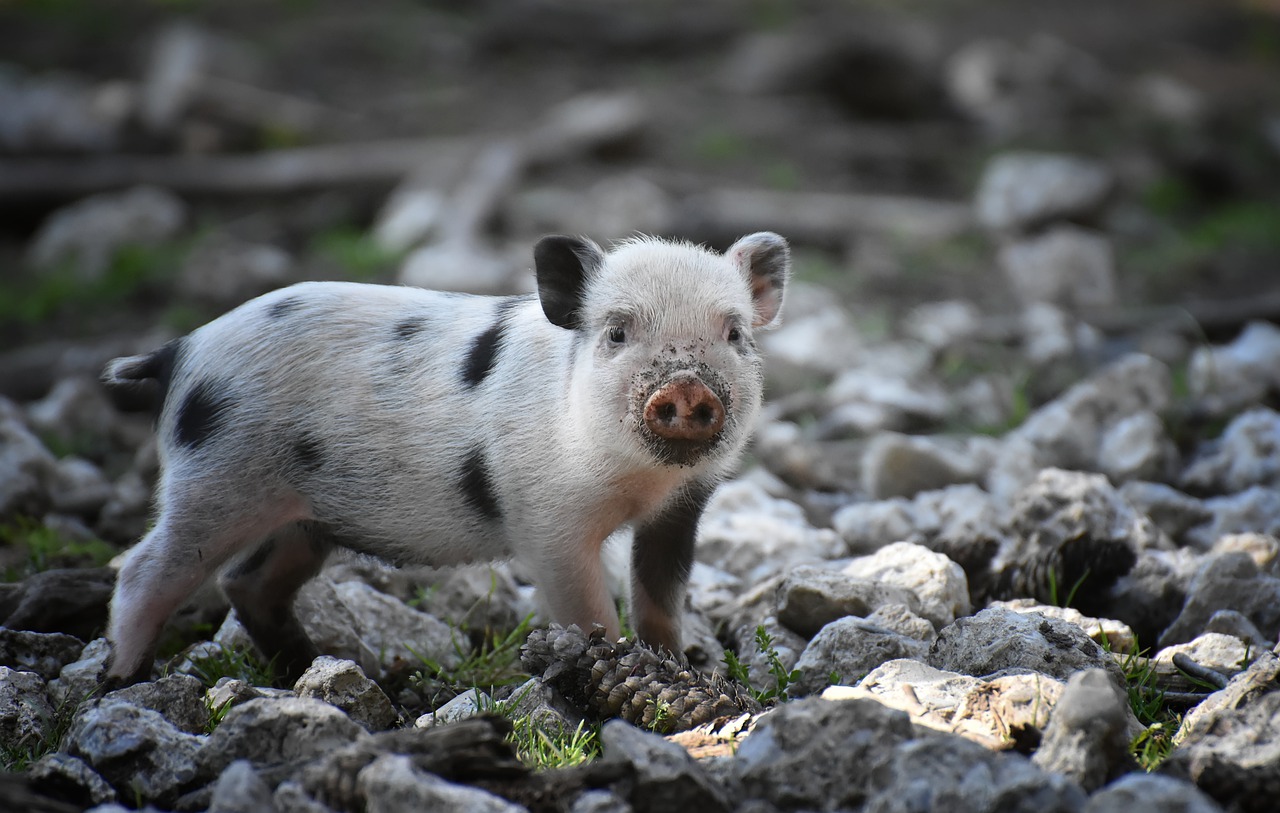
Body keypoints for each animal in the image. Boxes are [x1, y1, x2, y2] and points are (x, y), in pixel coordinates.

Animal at [100, 232, 790, 686]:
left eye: (735, 334)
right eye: (617, 332)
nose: (686, 387)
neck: (642, 483)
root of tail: (181, 350)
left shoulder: (682, 509)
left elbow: (661, 599)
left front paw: (674, 668)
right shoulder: (546, 521)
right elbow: (590, 610)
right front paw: (612, 664)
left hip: (302, 518)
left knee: (247, 582)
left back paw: (314, 669)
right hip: (213, 481)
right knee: (141, 569)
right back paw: (125, 682)